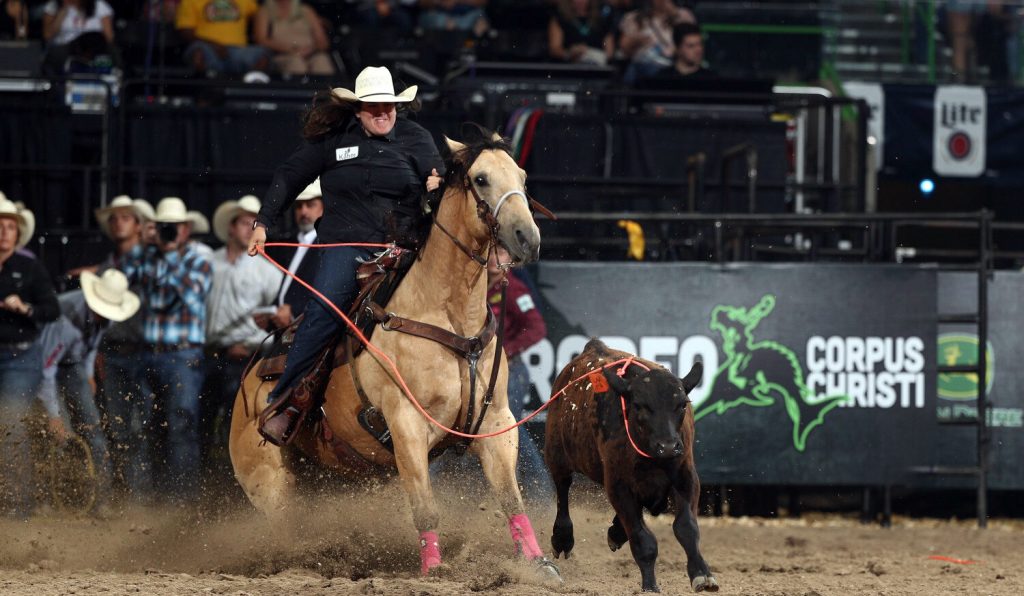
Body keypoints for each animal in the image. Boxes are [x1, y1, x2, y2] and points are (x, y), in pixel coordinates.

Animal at [544, 338, 718, 593]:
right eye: (639, 405)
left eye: (682, 404)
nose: (667, 446)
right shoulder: (618, 485)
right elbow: (643, 540)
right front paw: (650, 585)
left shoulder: (685, 476)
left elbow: (687, 528)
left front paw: (702, 575)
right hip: (556, 453)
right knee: (563, 489)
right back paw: (563, 538)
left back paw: (616, 532)